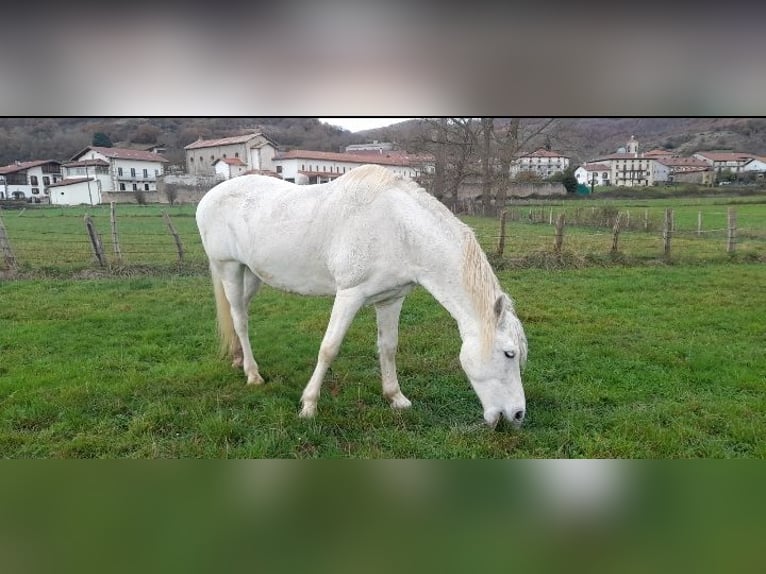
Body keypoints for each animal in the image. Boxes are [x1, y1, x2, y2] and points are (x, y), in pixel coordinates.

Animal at [195, 164, 528, 428]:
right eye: (509, 353)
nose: (517, 415)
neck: (398, 228)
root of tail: (208, 197)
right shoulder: (349, 295)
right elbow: (328, 348)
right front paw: (309, 405)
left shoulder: (391, 299)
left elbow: (389, 347)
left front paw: (396, 397)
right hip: (229, 269)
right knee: (240, 320)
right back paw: (253, 375)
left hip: (251, 274)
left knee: (240, 314)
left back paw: (238, 360)